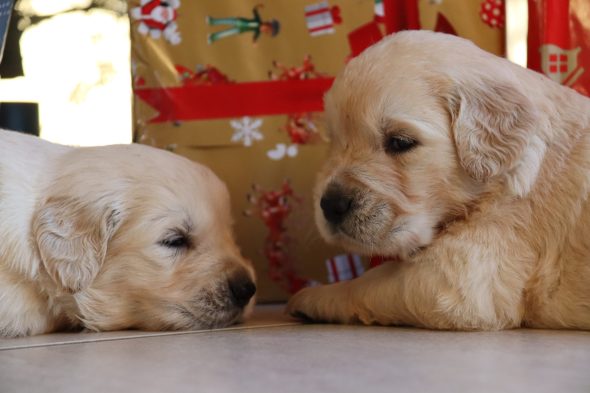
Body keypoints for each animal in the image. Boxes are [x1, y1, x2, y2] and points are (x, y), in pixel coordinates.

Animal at [288, 30, 590, 330]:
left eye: (400, 142)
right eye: (334, 141)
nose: (331, 205)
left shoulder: (457, 278)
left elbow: (371, 281)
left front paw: (310, 297)